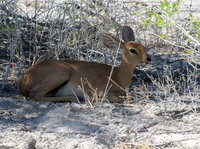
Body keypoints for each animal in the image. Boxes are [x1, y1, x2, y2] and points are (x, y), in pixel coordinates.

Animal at [18, 25, 151, 102]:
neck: (118, 76)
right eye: (132, 50)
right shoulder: (103, 91)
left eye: (143, 47)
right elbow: (119, 98)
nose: (148, 58)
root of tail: (24, 80)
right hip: (62, 73)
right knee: (35, 97)